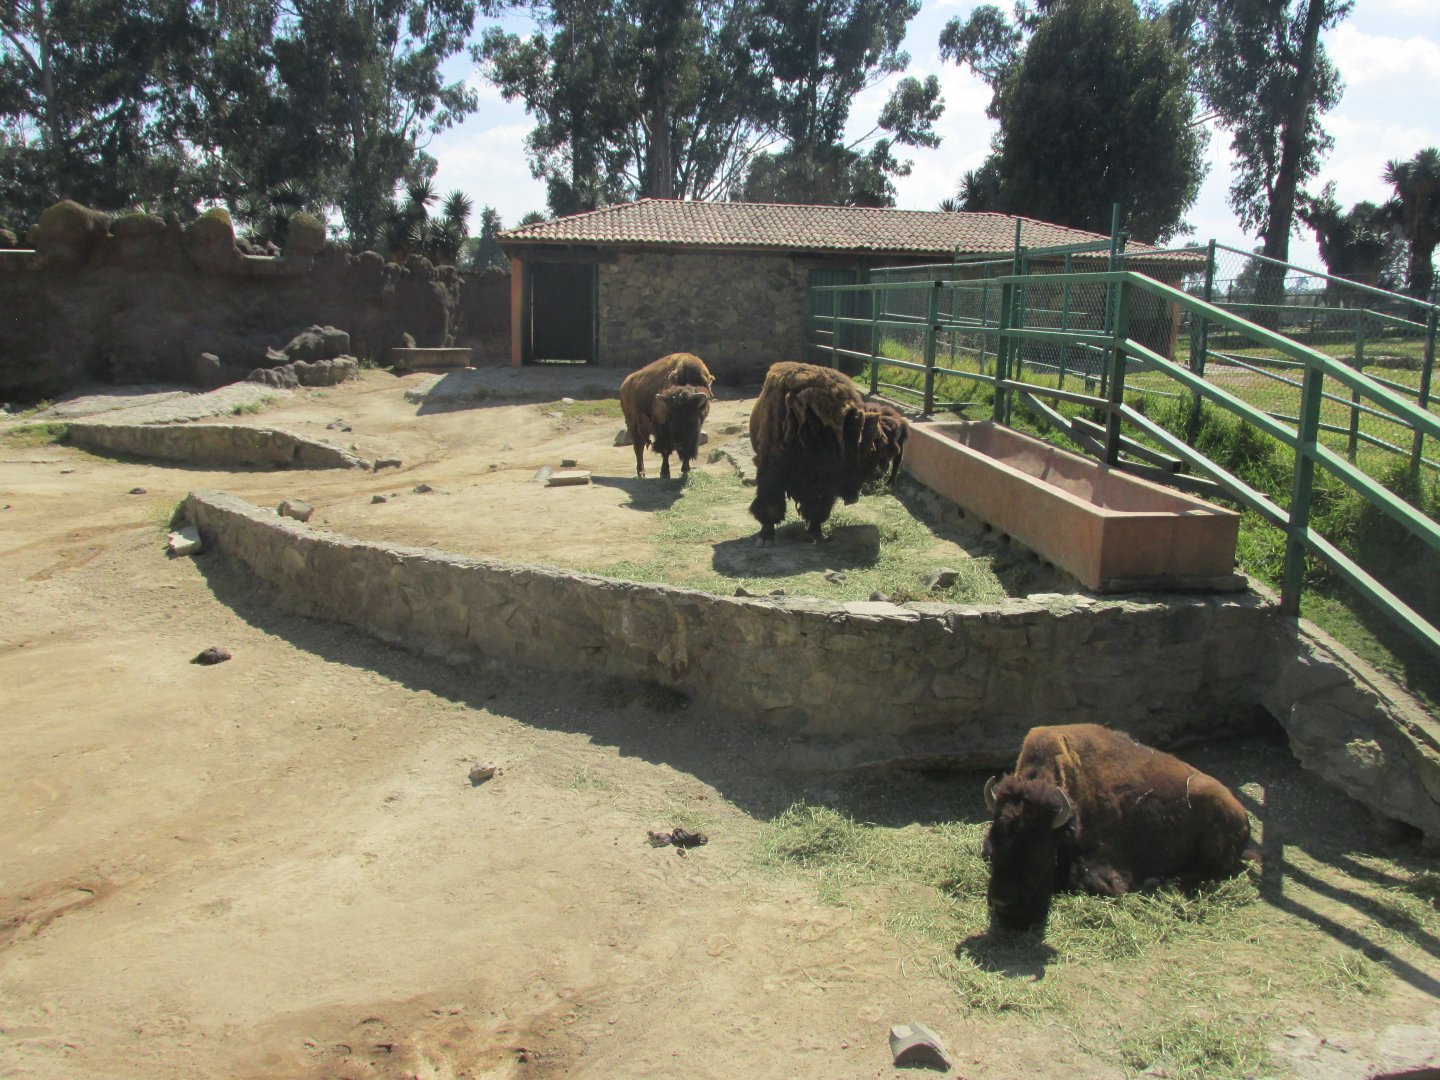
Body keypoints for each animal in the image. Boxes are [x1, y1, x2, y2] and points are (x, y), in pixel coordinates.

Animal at [747, 361, 908, 543]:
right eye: (862, 460)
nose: (853, 498)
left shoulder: (826, 484)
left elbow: (819, 508)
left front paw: (815, 532)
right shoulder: (771, 470)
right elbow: (771, 505)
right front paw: (765, 537)